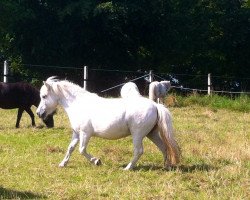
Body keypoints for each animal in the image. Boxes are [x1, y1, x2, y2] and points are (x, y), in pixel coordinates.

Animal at [36, 77, 180, 170]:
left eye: (44, 96)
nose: (38, 113)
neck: (78, 104)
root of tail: (155, 105)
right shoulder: (76, 133)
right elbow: (70, 148)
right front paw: (63, 164)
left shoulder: (85, 133)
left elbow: (82, 150)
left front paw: (96, 161)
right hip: (152, 133)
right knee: (164, 147)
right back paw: (166, 167)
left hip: (138, 134)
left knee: (139, 151)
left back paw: (128, 168)